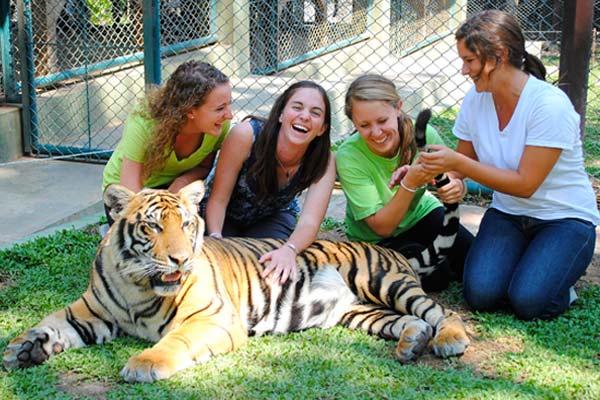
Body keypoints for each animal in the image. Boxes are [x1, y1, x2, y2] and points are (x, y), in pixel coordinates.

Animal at [2, 180, 468, 382]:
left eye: (186, 224)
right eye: (152, 227)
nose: (181, 258)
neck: (139, 286)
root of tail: (394, 251)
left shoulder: (212, 319)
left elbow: (173, 341)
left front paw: (144, 364)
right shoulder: (89, 311)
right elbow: (49, 322)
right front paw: (23, 348)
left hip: (384, 280)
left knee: (439, 311)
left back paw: (449, 340)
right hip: (358, 312)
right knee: (409, 321)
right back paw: (411, 344)